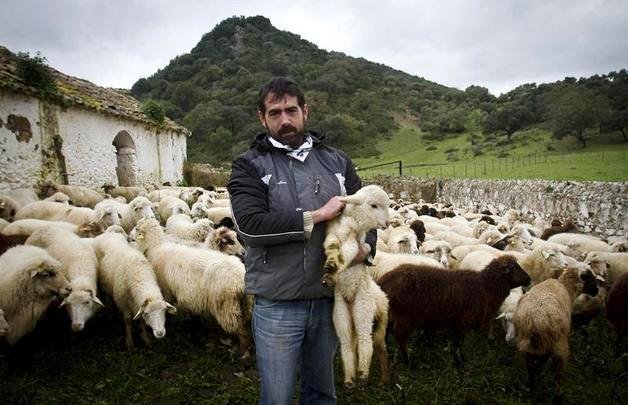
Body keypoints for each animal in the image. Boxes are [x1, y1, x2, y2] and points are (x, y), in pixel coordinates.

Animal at [134, 218, 251, 356]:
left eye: (137, 228)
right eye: (229, 241)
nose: (243, 253)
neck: (156, 246)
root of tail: (240, 280)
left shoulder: (166, 290)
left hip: (226, 307)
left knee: (241, 330)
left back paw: (244, 353)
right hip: (245, 304)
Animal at [322, 185, 390, 386]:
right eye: (373, 205)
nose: (387, 223)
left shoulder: (356, 241)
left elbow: (348, 251)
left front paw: (335, 265)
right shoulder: (331, 234)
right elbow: (332, 247)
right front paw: (331, 267)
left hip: (366, 308)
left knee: (368, 340)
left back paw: (366, 372)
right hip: (341, 313)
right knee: (347, 343)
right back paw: (350, 377)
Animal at [378, 256, 528, 366]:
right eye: (514, 268)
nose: (529, 279)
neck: (486, 287)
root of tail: (383, 281)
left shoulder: (456, 322)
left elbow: (455, 341)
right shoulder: (463, 321)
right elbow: (458, 342)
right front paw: (459, 361)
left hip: (390, 314)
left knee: (386, 332)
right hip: (405, 317)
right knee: (400, 337)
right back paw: (409, 362)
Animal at [516, 264, 600, 400]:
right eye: (590, 277)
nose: (596, 290)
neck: (566, 287)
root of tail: (536, 320)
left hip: (526, 345)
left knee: (531, 369)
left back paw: (532, 390)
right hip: (559, 346)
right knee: (557, 375)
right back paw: (558, 396)